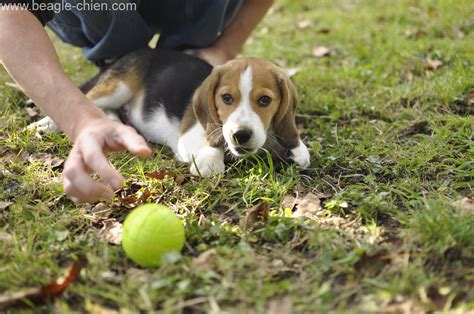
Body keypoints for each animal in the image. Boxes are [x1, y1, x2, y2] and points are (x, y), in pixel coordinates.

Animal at [29, 49, 312, 177]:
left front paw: (295, 148)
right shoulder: (190, 137)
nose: (240, 135)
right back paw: (45, 124)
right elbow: (211, 156)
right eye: (226, 98)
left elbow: (301, 154)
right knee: (85, 101)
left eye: (264, 100)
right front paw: (213, 155)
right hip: (118, 86)